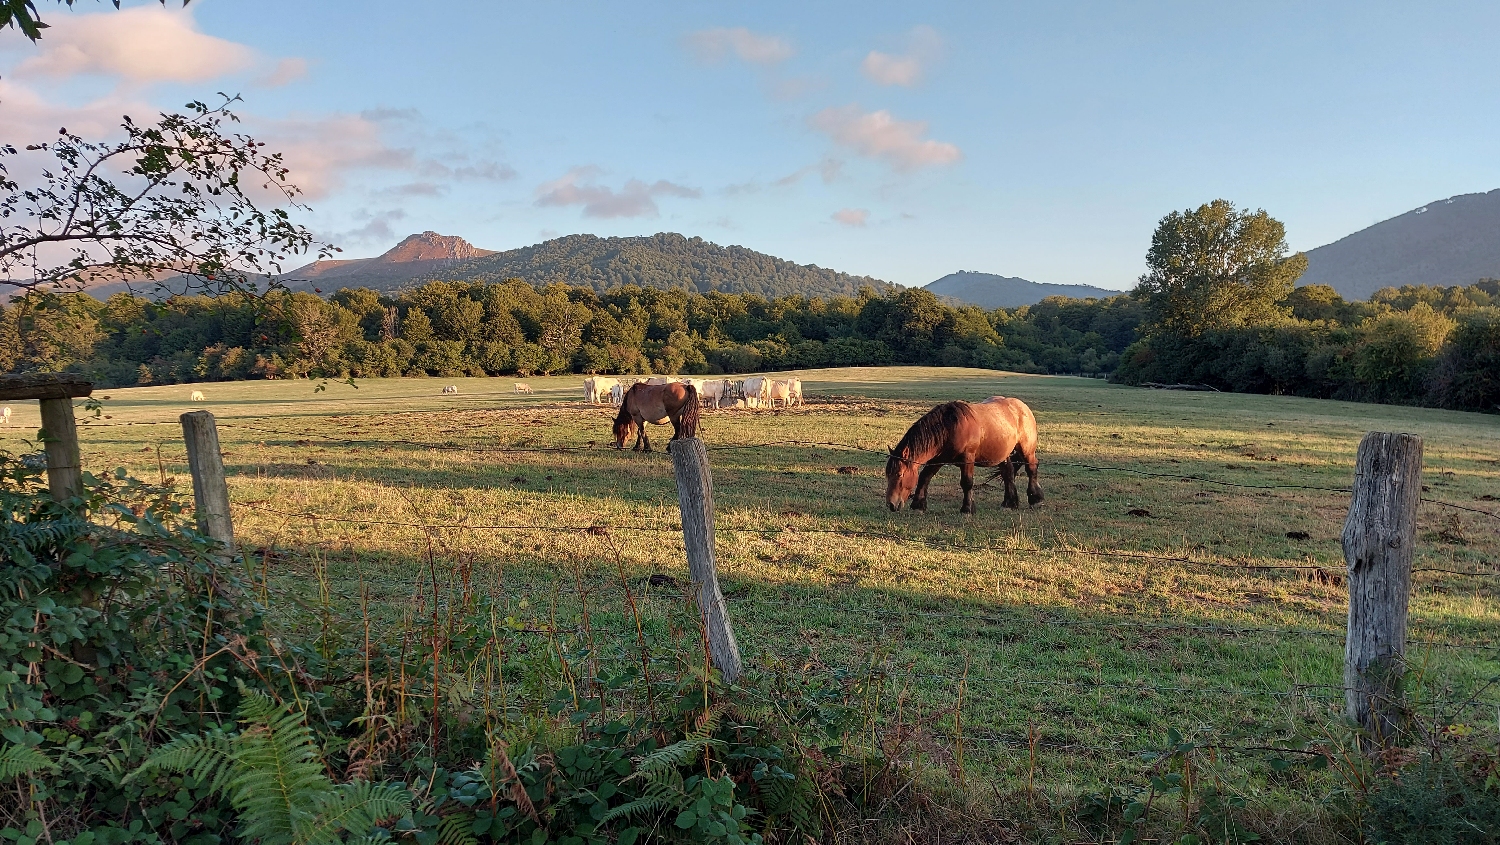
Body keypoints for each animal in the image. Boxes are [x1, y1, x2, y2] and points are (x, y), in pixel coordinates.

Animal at [876, 396, 1044, 516]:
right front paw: (918, 505)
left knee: (1031, 469)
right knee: (1008, 473)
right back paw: (1009, 503)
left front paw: (967, 509)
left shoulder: (967, 459)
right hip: (1002, 454)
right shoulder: (938, 459)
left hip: (1027, 450)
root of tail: (1022, 407)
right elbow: (924, 477)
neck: (949, 427)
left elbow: (967, 483)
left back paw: (1036, 499)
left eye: (900, 474)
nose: (891, 504)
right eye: (888, 474)